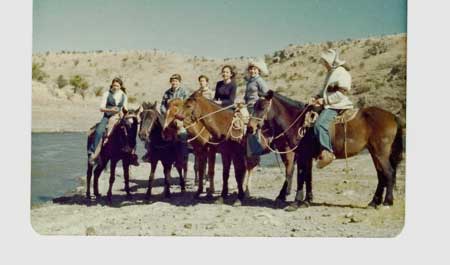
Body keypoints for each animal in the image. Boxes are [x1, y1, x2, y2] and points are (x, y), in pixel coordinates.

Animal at [250, 89, 404, 207]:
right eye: (254, 106)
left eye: (262, 107)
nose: (250, 127)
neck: (299, 123)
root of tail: (393, 116)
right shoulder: (307, 156)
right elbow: (308, 177)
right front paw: (307, 200)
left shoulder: (302, 155)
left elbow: (301, 176)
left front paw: (297, 202)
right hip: (374, 152)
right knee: (381, 175)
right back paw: (374, 202)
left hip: (380, 153)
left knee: (389, 172)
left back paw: (387, 202)